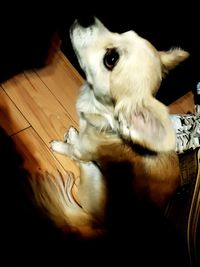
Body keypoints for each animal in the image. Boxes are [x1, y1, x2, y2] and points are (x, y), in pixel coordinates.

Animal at [29, 16, 189, 239]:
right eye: (124, 31)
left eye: (110, 59)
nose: (86, 18)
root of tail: (99, 224)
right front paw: (75, 133)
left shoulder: (82, 151)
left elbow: (73, 150)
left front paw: (62, 145)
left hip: (95, 177)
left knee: (83, 164)